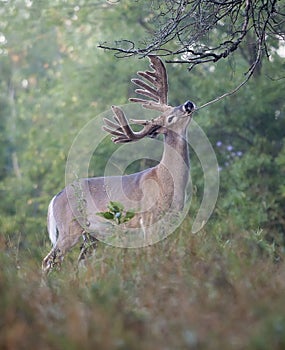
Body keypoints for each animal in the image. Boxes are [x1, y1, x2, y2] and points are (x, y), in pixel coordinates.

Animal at [41, 54, 194, 274]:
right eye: (171, 117)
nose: (188, 104)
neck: (167, 179)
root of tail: (55, 198)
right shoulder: (148, 219)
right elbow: (152, 252)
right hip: (69, 229)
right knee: (48, 261)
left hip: (91, 236)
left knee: (79, 263)